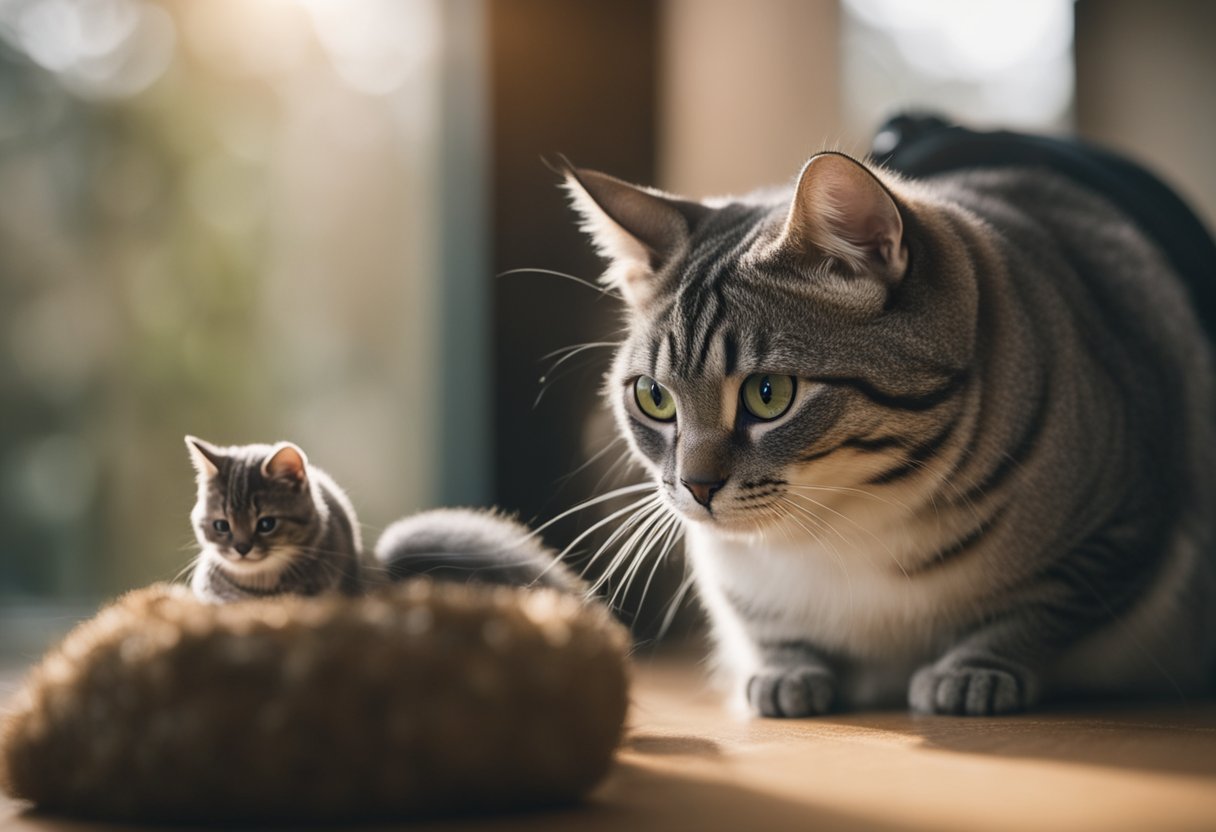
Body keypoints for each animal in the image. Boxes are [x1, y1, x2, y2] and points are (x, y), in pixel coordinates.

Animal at [559, 128, 1216, 715]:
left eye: (769, 394)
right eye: (654, 398)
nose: (696, 487)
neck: (847, 525)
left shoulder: (1124, 524)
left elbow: (1036, 611)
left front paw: (971, 673)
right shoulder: (730, 574)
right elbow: (766, 625)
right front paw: (784, 674)